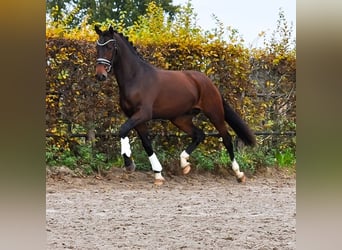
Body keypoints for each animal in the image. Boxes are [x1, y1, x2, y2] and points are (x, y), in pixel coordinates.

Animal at [95, 26, 255, 185]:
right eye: (97, 47)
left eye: (109, 47)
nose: (100, 75)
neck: (136, 78)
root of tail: (208, 82)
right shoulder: (135, 117)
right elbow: (146, 143)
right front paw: (158, 174)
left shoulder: (143, 114)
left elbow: (122, 130)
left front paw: (129, 164)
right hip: (180, 119)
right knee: (199, 135)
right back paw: (184, 164)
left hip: (214, 113)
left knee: (226, 138)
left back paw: (239, 174)